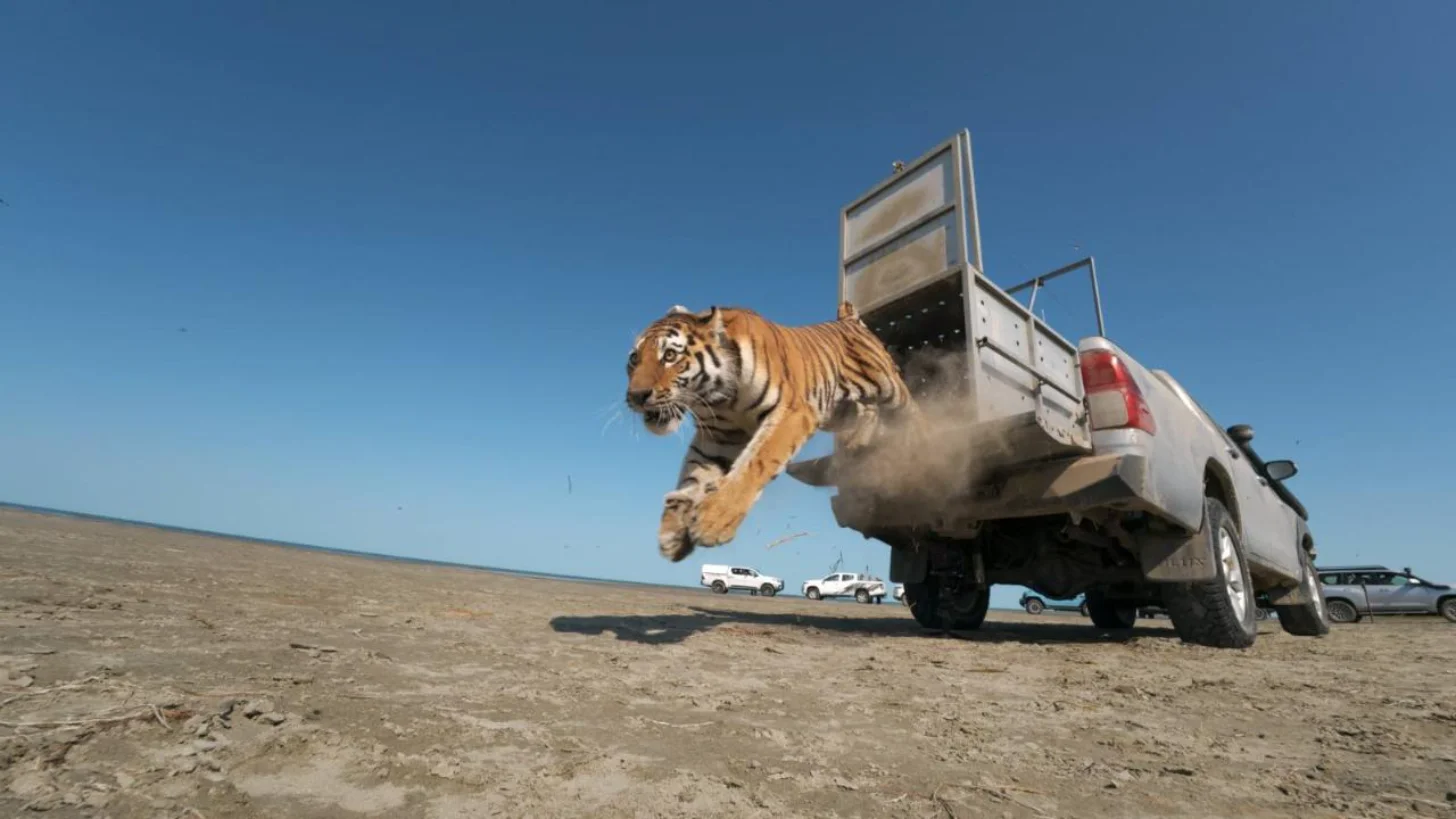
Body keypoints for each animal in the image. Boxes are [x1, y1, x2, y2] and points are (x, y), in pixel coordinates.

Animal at [624, 301, 923, 562]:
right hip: (835, 410)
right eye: (634, 359)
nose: (636, 396)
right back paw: (855, 443)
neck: (719, 397)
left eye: (670, 356)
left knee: (911, 409)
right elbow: (694, 474)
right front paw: (673, 533)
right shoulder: (719, 435)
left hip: (889, 387)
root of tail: (848, 319)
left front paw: (713, 521)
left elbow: (755, 463)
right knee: (866, 414)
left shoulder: (790, 414)